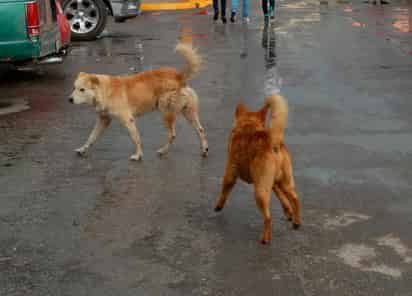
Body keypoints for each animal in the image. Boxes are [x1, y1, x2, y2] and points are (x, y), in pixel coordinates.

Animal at [69, 42, 209, 161]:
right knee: (200, 129)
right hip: (188, 112)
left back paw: (163, 151)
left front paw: (138, 155)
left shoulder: (128, 120)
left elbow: (135, 138)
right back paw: (204, 149)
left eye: (82, 89)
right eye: (74, 87)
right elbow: (91, 137)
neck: (105, 90)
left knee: (172, 134)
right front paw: (82, 149)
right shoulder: (103, 120)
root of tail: (178, 76)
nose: (69, 99)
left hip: (166, 113)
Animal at [214, 93, 300, 244]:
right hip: (285, 183)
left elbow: (224, 191)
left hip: (259, 192)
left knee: (268, 217)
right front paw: (288, 212)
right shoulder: (274, 184)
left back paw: (265, 238)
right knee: (295, 198)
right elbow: (283, 198)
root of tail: (273, 142)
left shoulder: (230, 172)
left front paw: (218, 206)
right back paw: (297, 222)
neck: (249, 124)